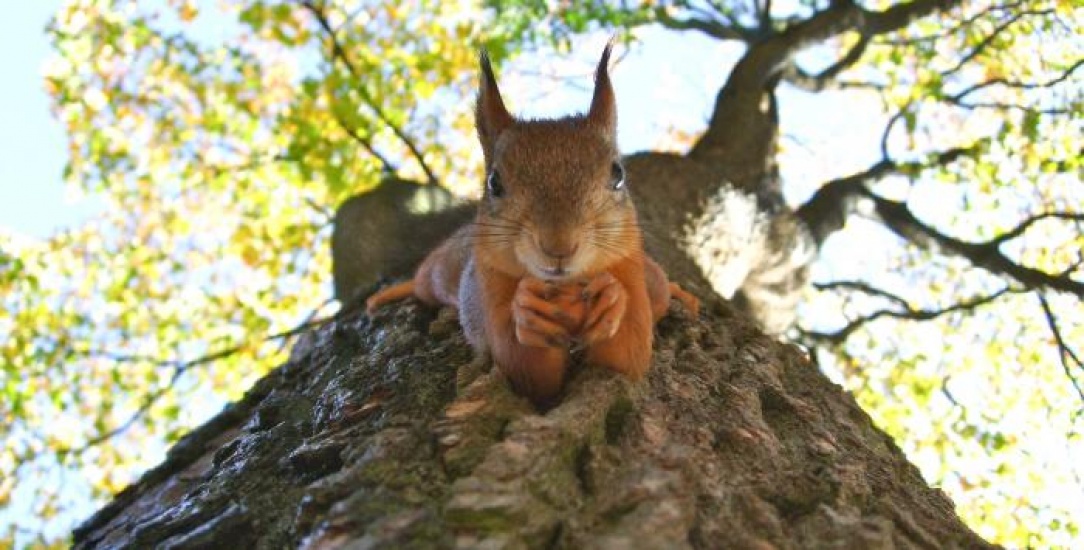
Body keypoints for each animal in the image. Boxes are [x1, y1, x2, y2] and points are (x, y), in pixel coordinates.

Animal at [366, 43, 698, 405]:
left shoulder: (630, 272)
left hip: (652, 279)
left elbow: (627, 356)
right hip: (440, 272)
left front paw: (612, 298)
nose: (559, 246)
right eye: (494, 183)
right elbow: (525, 370)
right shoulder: (490, 289)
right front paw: (526, 310)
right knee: (423, 281)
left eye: (618, 174)